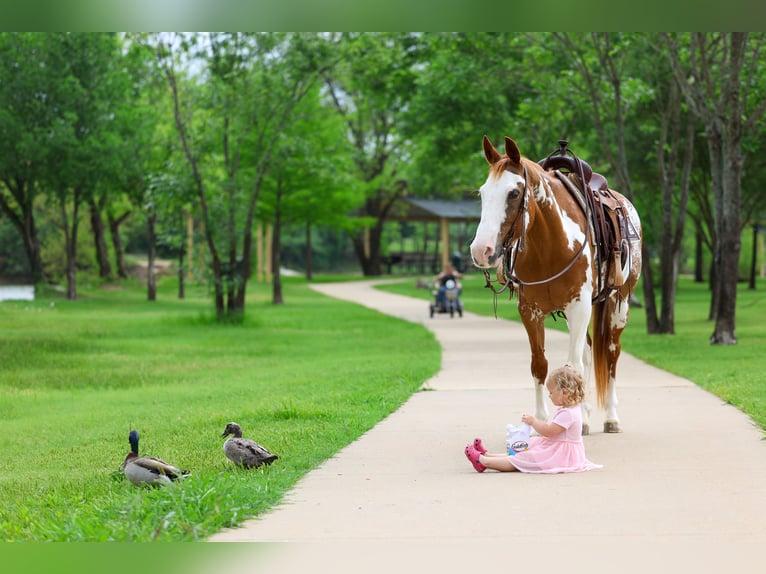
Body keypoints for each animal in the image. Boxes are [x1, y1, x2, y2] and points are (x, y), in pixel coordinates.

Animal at [469, 135, 642, 433]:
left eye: (513, 193)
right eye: (482, 193)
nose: (481, 250)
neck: (549, 246)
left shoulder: (579, 307)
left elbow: (573, 365)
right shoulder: (530, 311)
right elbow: (540, 365)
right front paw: (541, 420)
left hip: (619, 302)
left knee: (610, 353)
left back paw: (611, 417)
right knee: (588, 353)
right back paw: (585, 416)